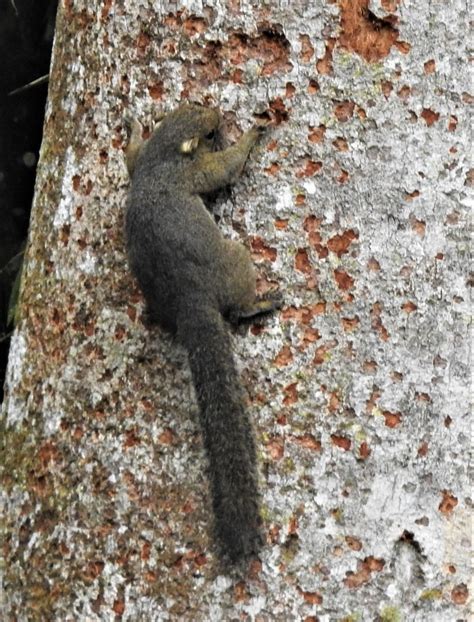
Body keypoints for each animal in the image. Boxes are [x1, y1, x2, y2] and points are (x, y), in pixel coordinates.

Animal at [125, 103, 282, 564]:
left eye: (189, 106)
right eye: (210, 132)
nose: (217, 109)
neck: (163, 156)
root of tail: (192, 306)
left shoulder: (140, 161)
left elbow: (128, 156)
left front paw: (132, 127)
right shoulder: (198, 171)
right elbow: (226, 169)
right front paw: (254, 133)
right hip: (237, 260)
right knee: (239, 305)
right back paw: (259, 303)